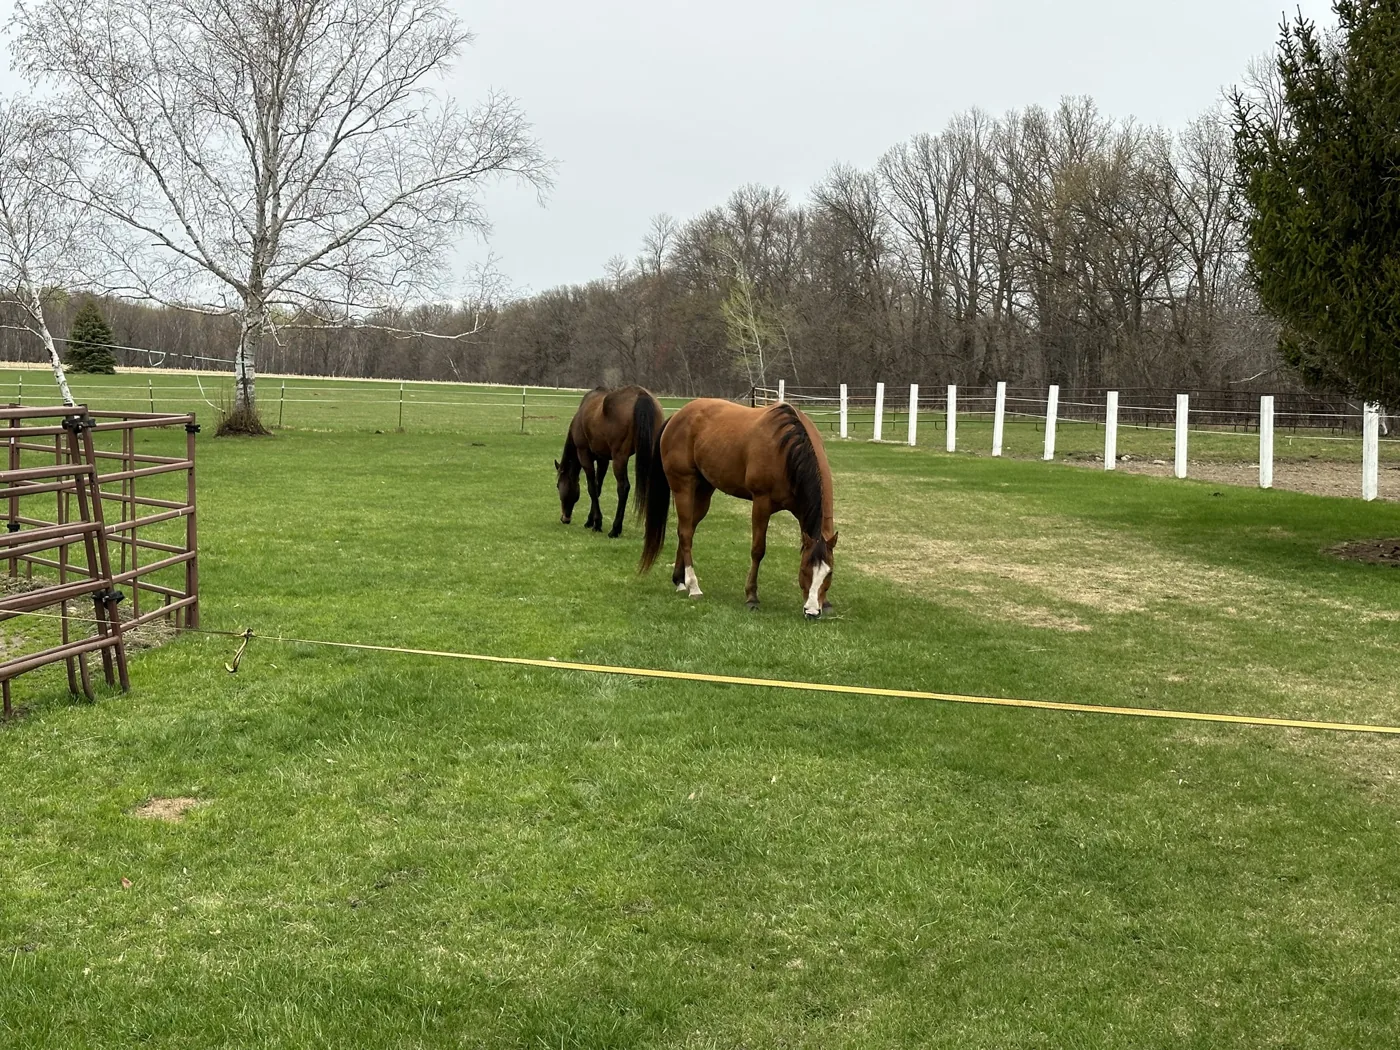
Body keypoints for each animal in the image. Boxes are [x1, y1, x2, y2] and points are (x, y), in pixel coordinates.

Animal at [555, 385, 665, 538]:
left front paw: (597, 523)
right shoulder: (603, 460)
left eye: (558, 486)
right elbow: (598, 488)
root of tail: (641, 395)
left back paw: (615, 529)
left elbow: (592, 488)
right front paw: (591, 521)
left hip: (619, 458)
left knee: (623, 487)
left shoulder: (584, 455)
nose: (564, 518)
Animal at [639, 399, 838, 618]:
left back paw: (680, 581)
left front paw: (826, 602)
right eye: (804, 570)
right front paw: (751, 596)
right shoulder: (761, 503)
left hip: (704, 490)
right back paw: (693, 586)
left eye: (829, 573)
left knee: (686, 529)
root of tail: (676, 416)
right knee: (685, 533)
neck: (786, 450)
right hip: (683, 485)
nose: (812, 611)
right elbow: (758, 550)